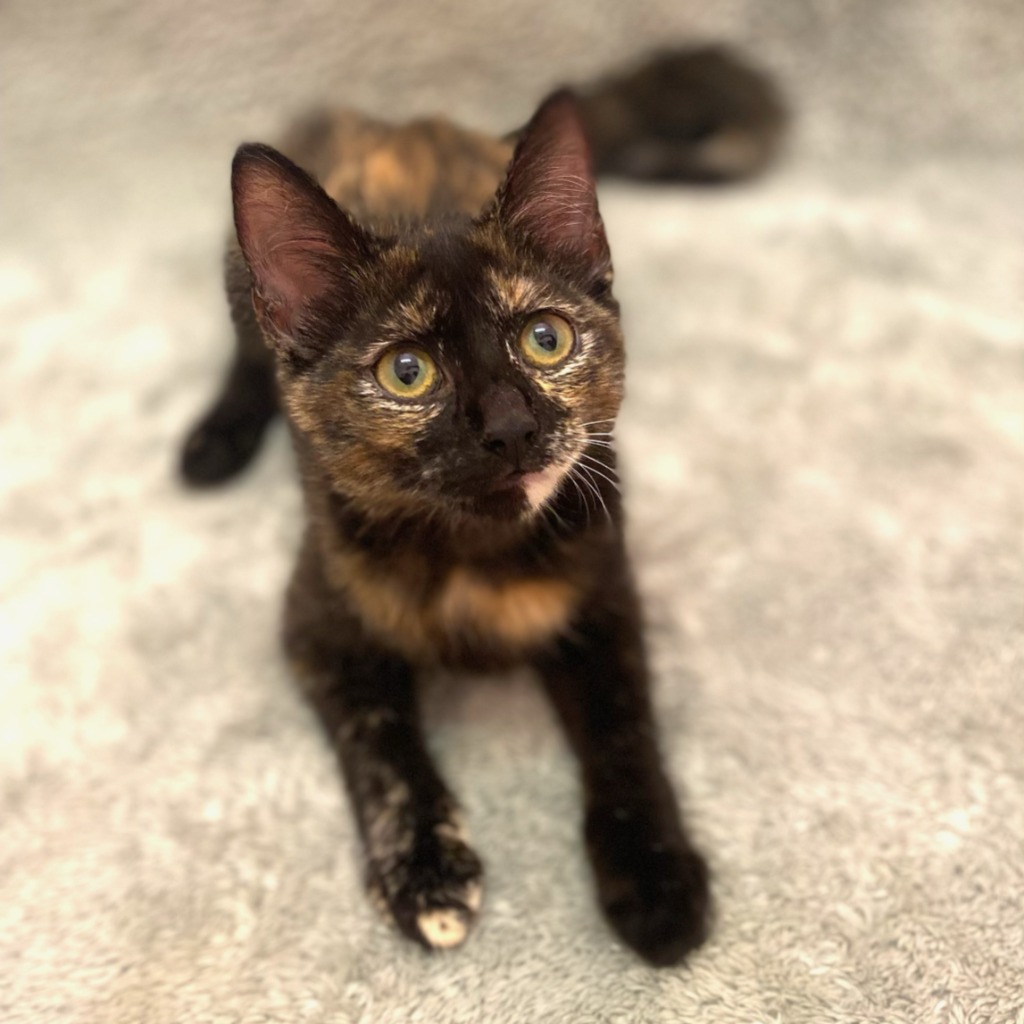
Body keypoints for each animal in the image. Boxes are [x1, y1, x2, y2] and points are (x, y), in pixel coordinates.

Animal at [181, 47, 784, 966]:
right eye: (407, 373)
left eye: (546, 339)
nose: (510, 425)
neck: (473, 550)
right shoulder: (316, 625)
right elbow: (381, 745)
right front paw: (427, 870)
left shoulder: (606, 595)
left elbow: (623, 730)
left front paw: (655, 874)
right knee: (251, 358)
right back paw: (214, 441)